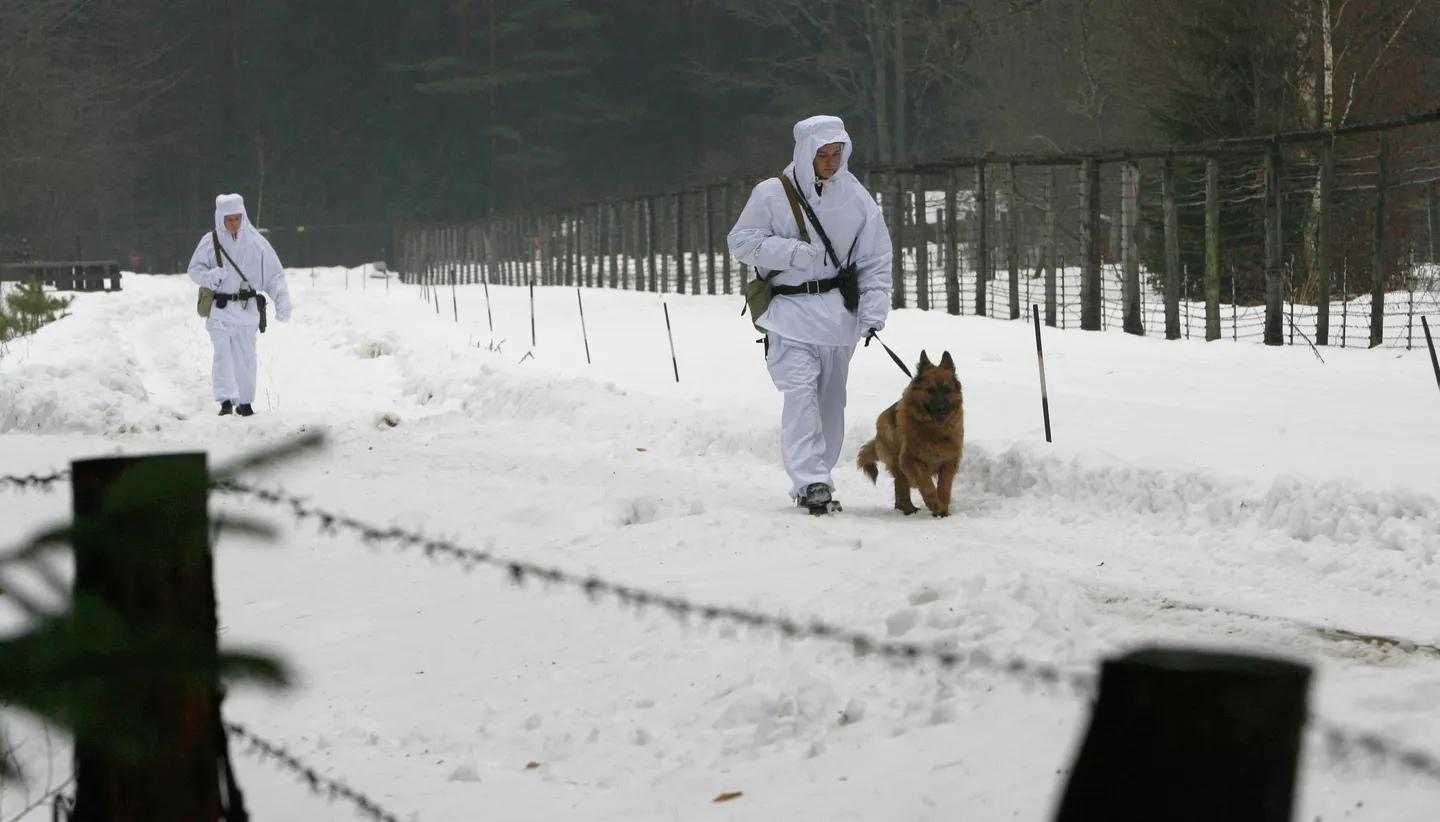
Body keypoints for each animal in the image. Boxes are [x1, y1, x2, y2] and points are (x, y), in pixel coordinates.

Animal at [858, 351, 961, 518]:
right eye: (930, 390)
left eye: (947, 390)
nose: (941, 408)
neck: (933, 431)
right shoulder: (910, 460)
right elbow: (926, 483)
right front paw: (934, 503)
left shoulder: (948, 462)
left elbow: (944, 488)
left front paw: (943, 510)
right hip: (896, 460)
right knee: (901, 487)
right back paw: (908, 508)